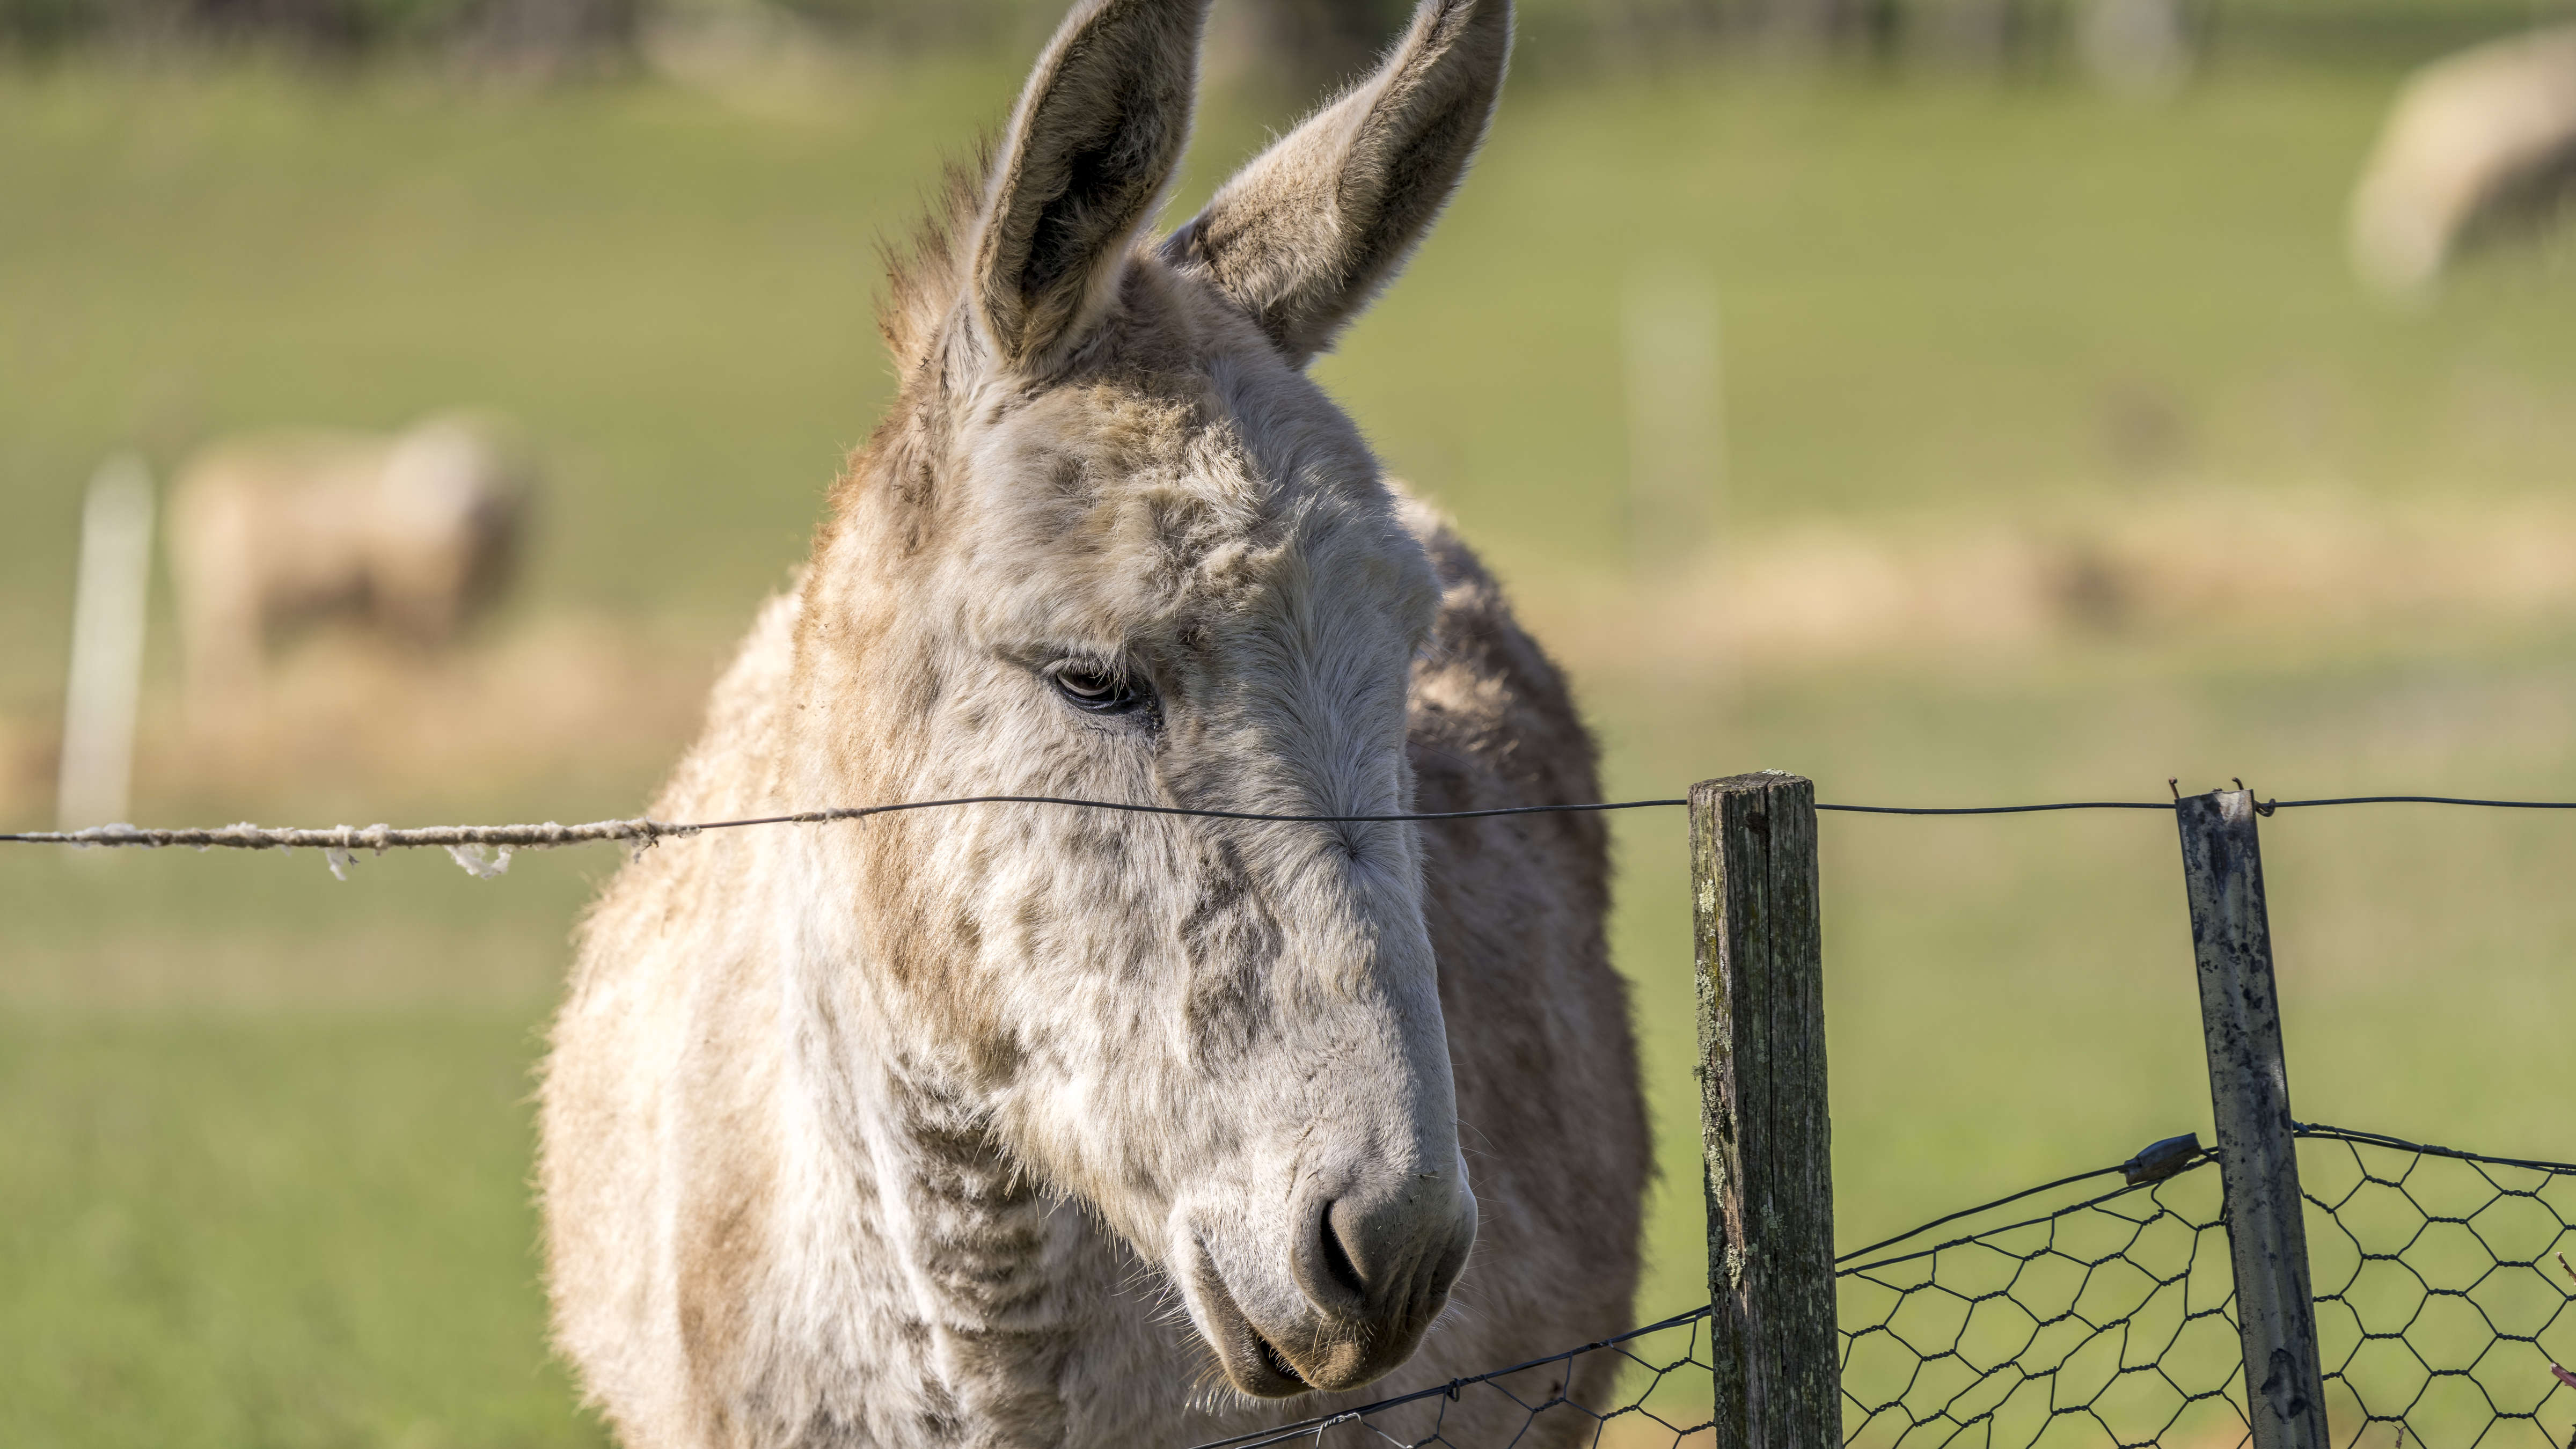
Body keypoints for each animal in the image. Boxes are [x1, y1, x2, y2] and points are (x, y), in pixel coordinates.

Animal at [170, 415, 533, 711]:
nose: (466, 513)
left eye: (484, 478)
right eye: (434, 473)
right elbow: (428, 649)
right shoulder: (410, 598)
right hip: (238, 596)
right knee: (229, 652)